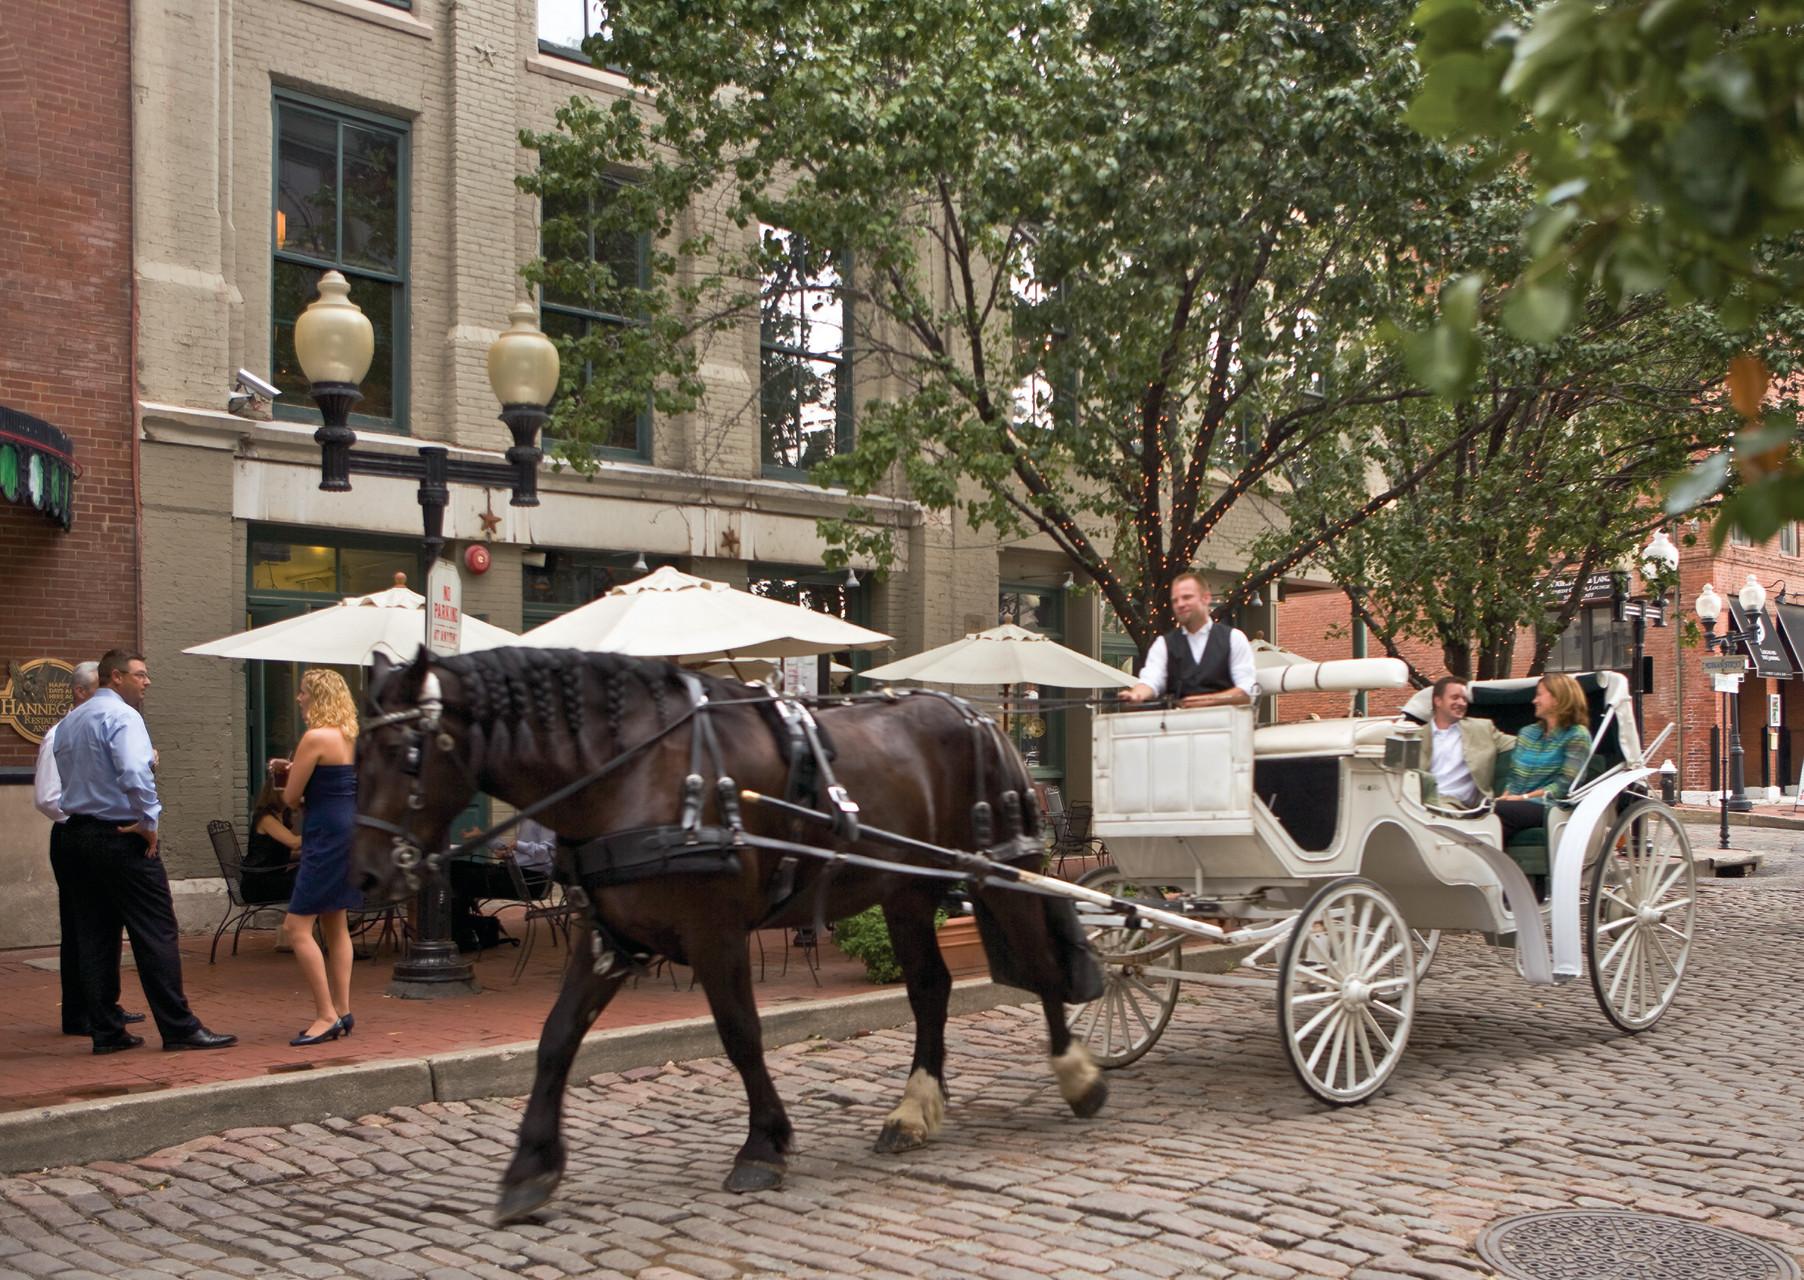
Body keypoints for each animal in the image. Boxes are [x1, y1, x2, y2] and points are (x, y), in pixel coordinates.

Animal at [349, 652, 1104, 1225]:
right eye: (358, 751)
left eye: (406, 754)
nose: (364, 873)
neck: (635, 772)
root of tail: (984, 718)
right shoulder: (609, 934)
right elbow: (556, 1040)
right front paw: (529, 1167)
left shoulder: (715, 933)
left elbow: (741, 1035)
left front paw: (762, 1147)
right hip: (908, 892)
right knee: (930, 989)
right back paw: (914, 1110)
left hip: (997, 872)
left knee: (1041, 967)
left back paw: (1078, 1077)